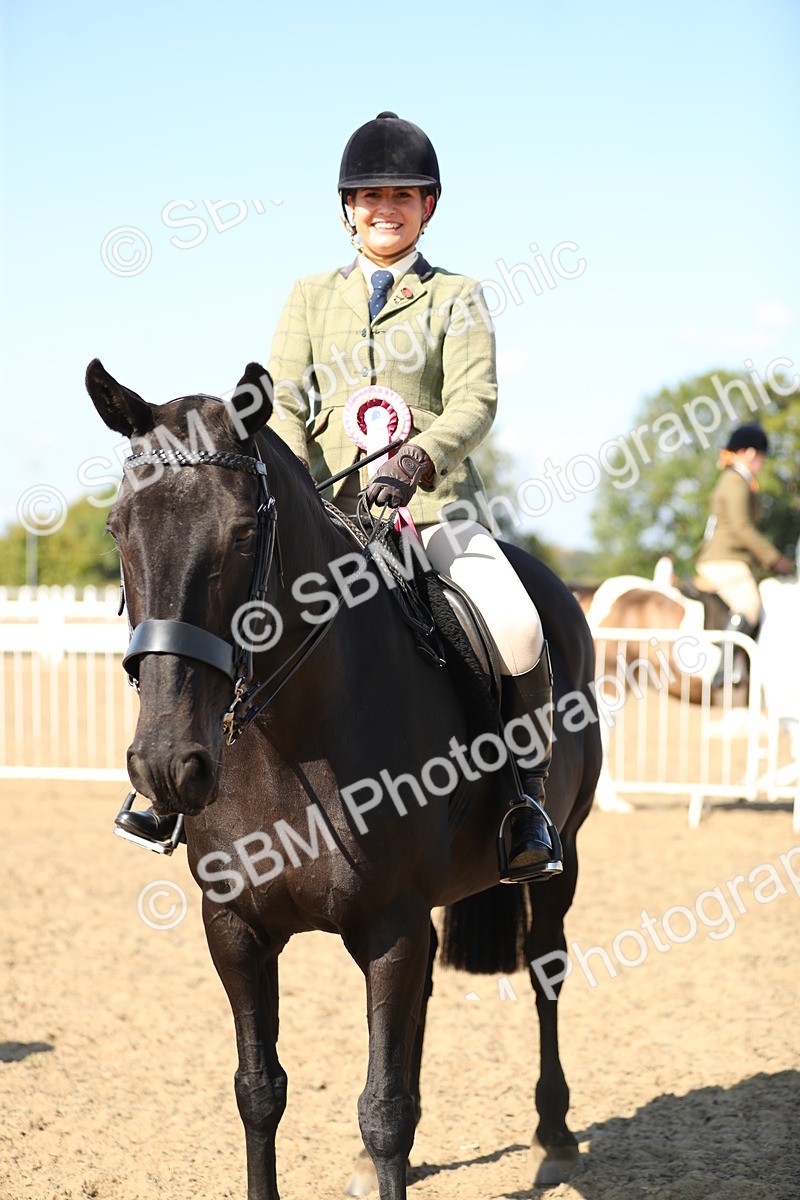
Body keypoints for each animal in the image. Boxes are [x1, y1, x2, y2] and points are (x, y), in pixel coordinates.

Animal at [86, 358, 602, 1200]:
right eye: (118, 530)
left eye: (241, 533)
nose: (165, 764)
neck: (288, 744)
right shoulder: (236, 930)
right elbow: (259, 1092)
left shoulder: (389, 928)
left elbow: (383, 1109)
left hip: (564, 853)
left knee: (546, 970)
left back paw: (554, 1134)